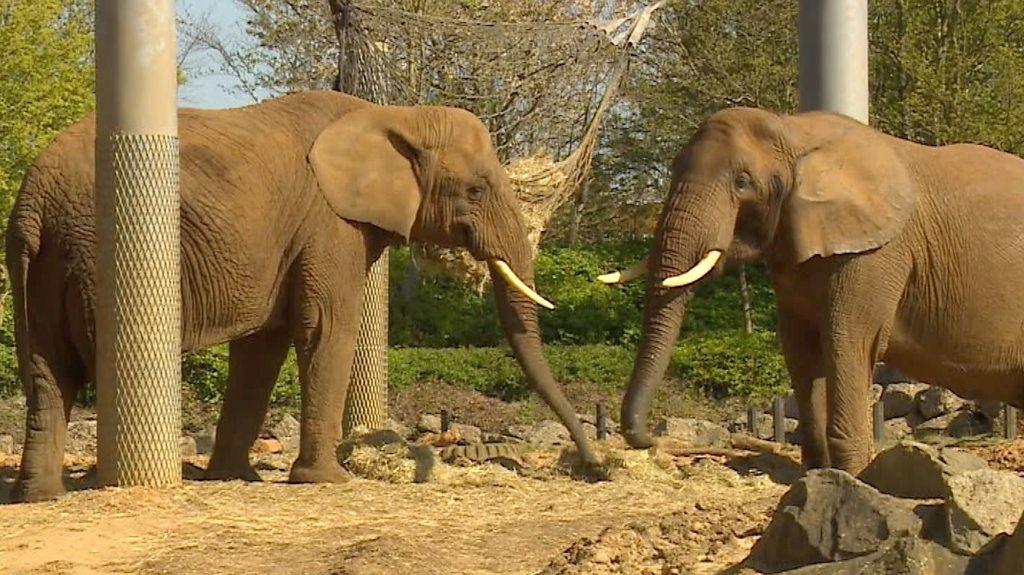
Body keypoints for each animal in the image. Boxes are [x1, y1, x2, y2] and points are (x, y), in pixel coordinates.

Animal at [6, 90, 598, 501]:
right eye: (475, 189)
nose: (594, 468)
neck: (395, 115)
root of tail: (33, 196)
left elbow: (261, 346)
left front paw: (236, 477)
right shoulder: (328, 223)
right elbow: (325, 327)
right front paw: (328, 481)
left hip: (43, 259)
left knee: (47, 373)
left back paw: (41, 495)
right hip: (97, 250)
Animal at [598, 106, 1024, 470]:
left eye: (742, 182)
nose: (653, 441)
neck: (793, 132)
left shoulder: (874, 254)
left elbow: (848, 342)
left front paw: (855, 478)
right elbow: (800, 346)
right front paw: (819, 475)